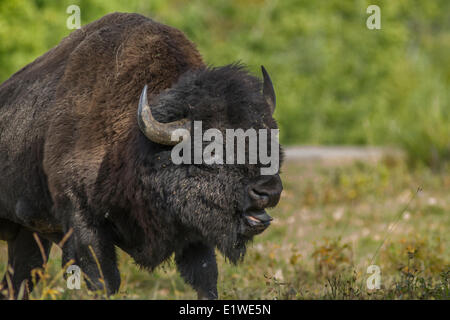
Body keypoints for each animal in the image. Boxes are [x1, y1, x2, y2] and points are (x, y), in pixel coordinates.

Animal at [0, 11, 282, 298]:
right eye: (211, 150)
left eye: (269, 138)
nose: (269, 191)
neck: (134, 143)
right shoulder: (82, 220)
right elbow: (103, 279)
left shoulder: (194, 235)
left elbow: (206, 277)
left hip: (28, 235)